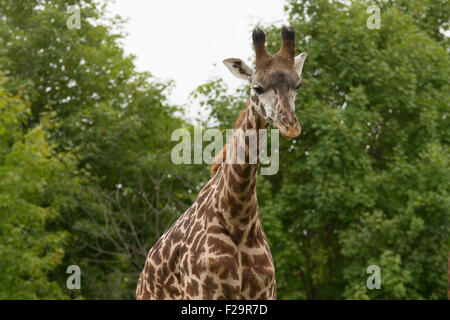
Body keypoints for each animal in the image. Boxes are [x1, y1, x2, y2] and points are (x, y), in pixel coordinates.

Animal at [135, 25, 308, 300]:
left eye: (298, 85)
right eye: (257, 87)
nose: (290, 125)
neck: (238, 219)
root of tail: (143, 276)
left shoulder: (266, 293)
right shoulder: (201, 292)